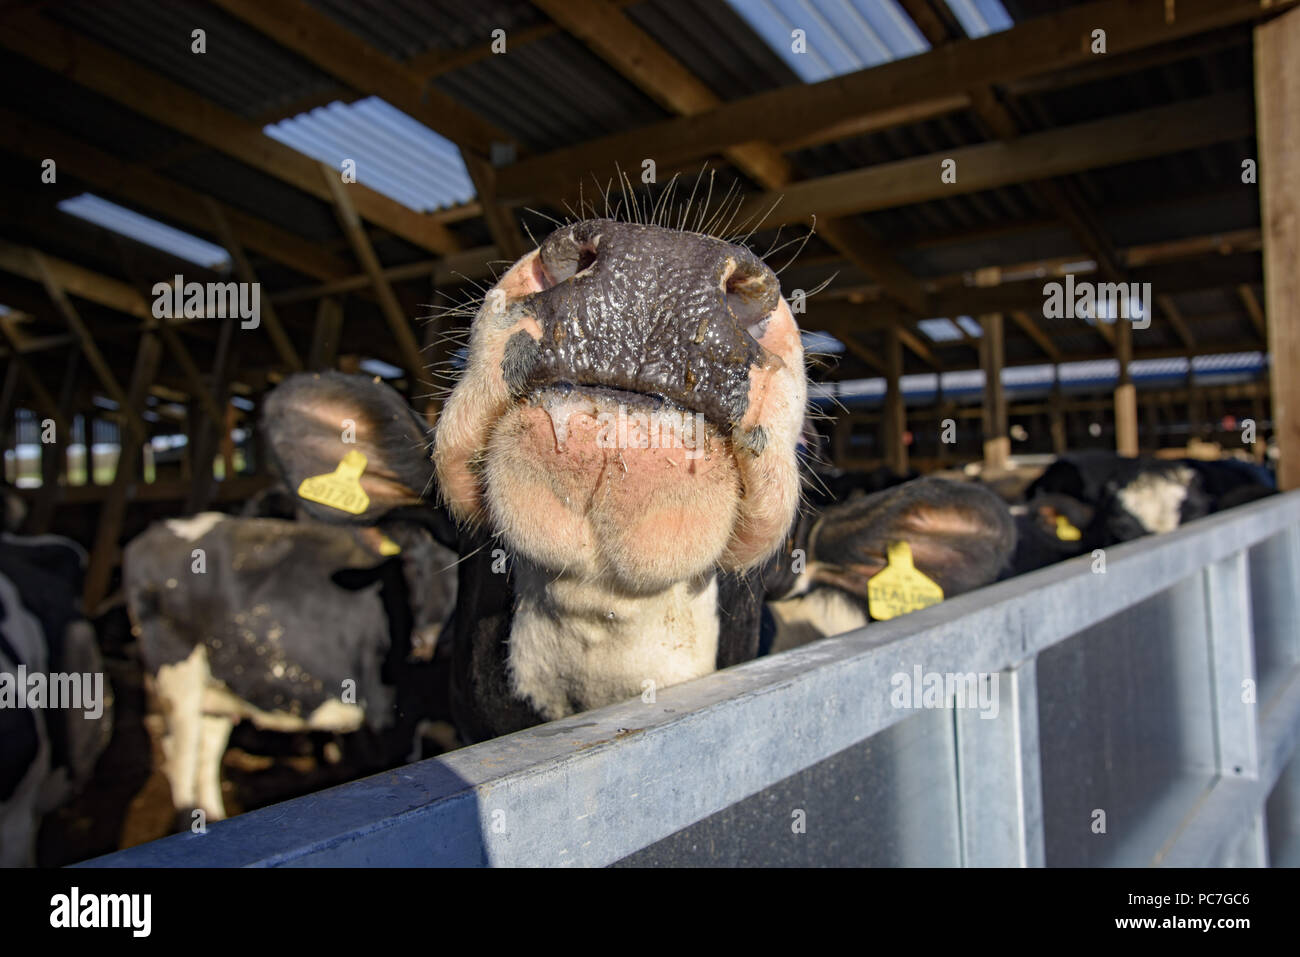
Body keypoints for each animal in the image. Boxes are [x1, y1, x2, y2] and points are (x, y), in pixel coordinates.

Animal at [122, 374, 457, 821]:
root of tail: (151, 534)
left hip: (221, 681)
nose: (426, 641)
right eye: (410, 565)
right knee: (180, 758)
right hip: (176, 679)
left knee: (207, 751)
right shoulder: (386, 721)